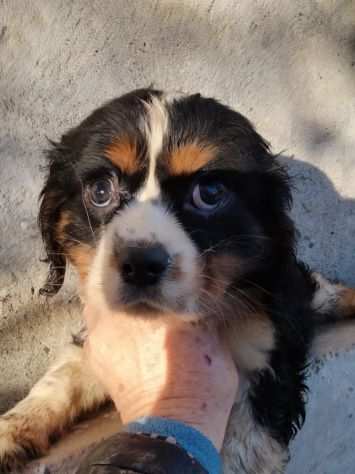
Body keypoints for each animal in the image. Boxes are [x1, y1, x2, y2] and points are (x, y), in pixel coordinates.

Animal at [0, 88, 355, 470]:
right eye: (100, 190)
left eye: (210, 192)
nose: (141, 263)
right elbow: (62, 377)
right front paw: (12, 428)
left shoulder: (269, 350)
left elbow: (247, 446)